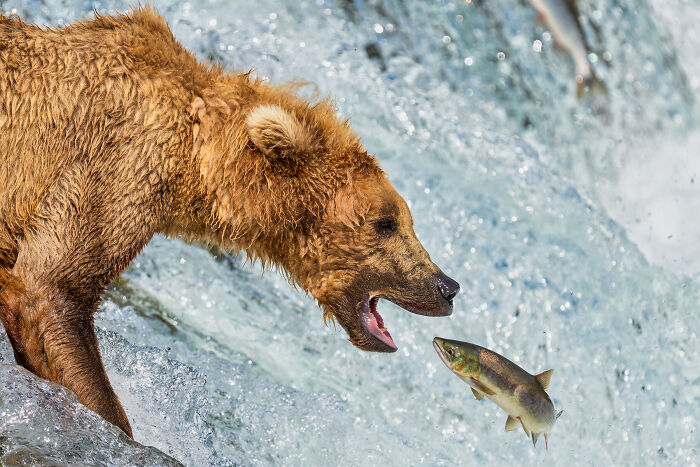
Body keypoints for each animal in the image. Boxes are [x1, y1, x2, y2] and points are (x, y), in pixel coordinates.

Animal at [0, 7, 460, 438]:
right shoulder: (116, 163)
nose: (448, 286)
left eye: (406, 219)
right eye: (386, 222)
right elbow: (54, 287)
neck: (196, 162)